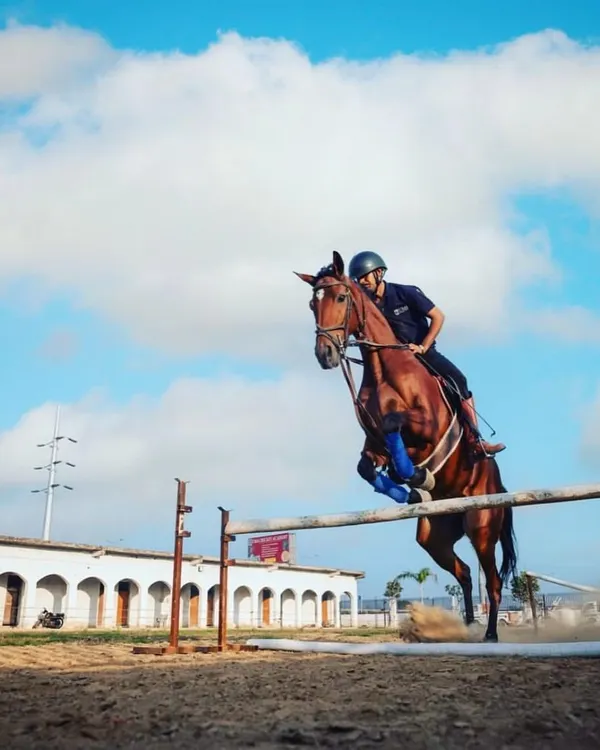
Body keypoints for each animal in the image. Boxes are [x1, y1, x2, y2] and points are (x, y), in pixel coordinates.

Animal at [295, 250, 517, 642]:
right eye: (312, 303)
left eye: (341, 297)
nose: (325, 355)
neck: (386, 369)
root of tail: (499, 483)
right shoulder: (373, 443)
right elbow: (368, 466)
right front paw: (410, 489)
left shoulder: (427, 425)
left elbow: (394, 424)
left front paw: (416, 476)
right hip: (435, 537)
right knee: (463, 572)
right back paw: (468, 626)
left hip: (482, 524)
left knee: (491, 581)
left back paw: (490, 634)